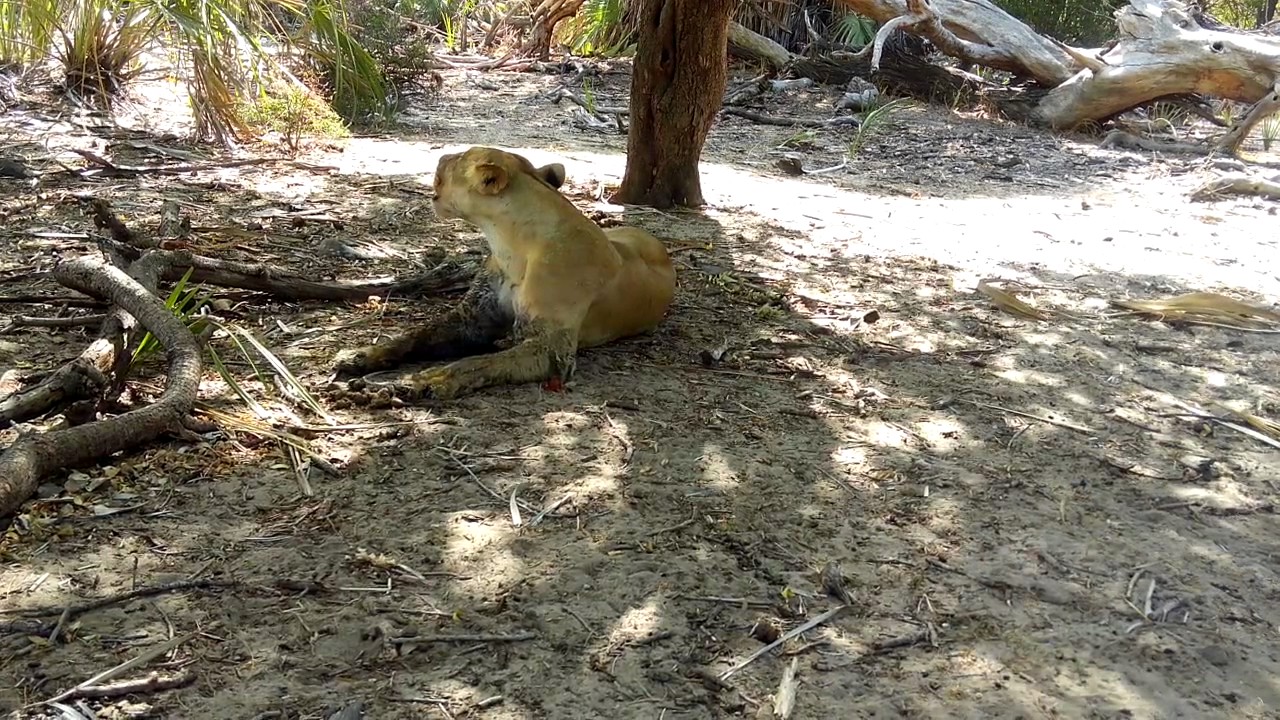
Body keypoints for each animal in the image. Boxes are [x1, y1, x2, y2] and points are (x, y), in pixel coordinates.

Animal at [333, 146, 677, 401]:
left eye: (459, 157)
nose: (441, 156)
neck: (511, 247)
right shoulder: (473, 318)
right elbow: (416, 335)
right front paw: (363, 354)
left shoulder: (550, 348)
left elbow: (476, 363)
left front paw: (429, 380)